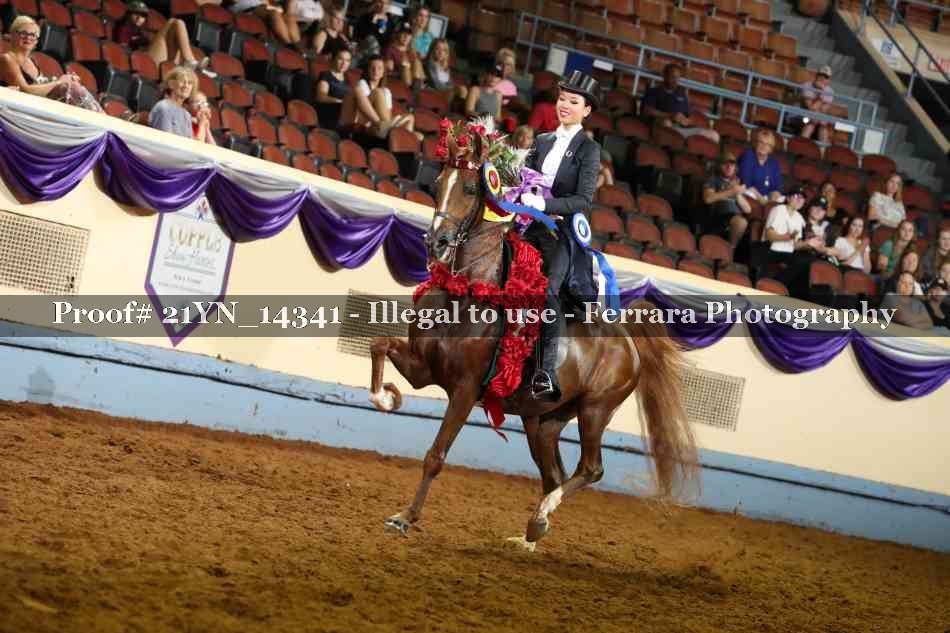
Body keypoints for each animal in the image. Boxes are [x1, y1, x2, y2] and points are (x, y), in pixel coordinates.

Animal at [368, 120, 698, 549]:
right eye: (439, 181)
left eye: (471, 188)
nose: (435, 243)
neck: (469, 291)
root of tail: (626, 337)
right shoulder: (423, 369)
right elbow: (379, 344)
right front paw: (386, 397)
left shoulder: (465, 389)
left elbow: (436, 455)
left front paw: (405, 518)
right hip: (543, 421)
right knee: (554, 474)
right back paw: (530, 534)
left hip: (595, 410)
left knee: (590, 469)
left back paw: (542, 515)